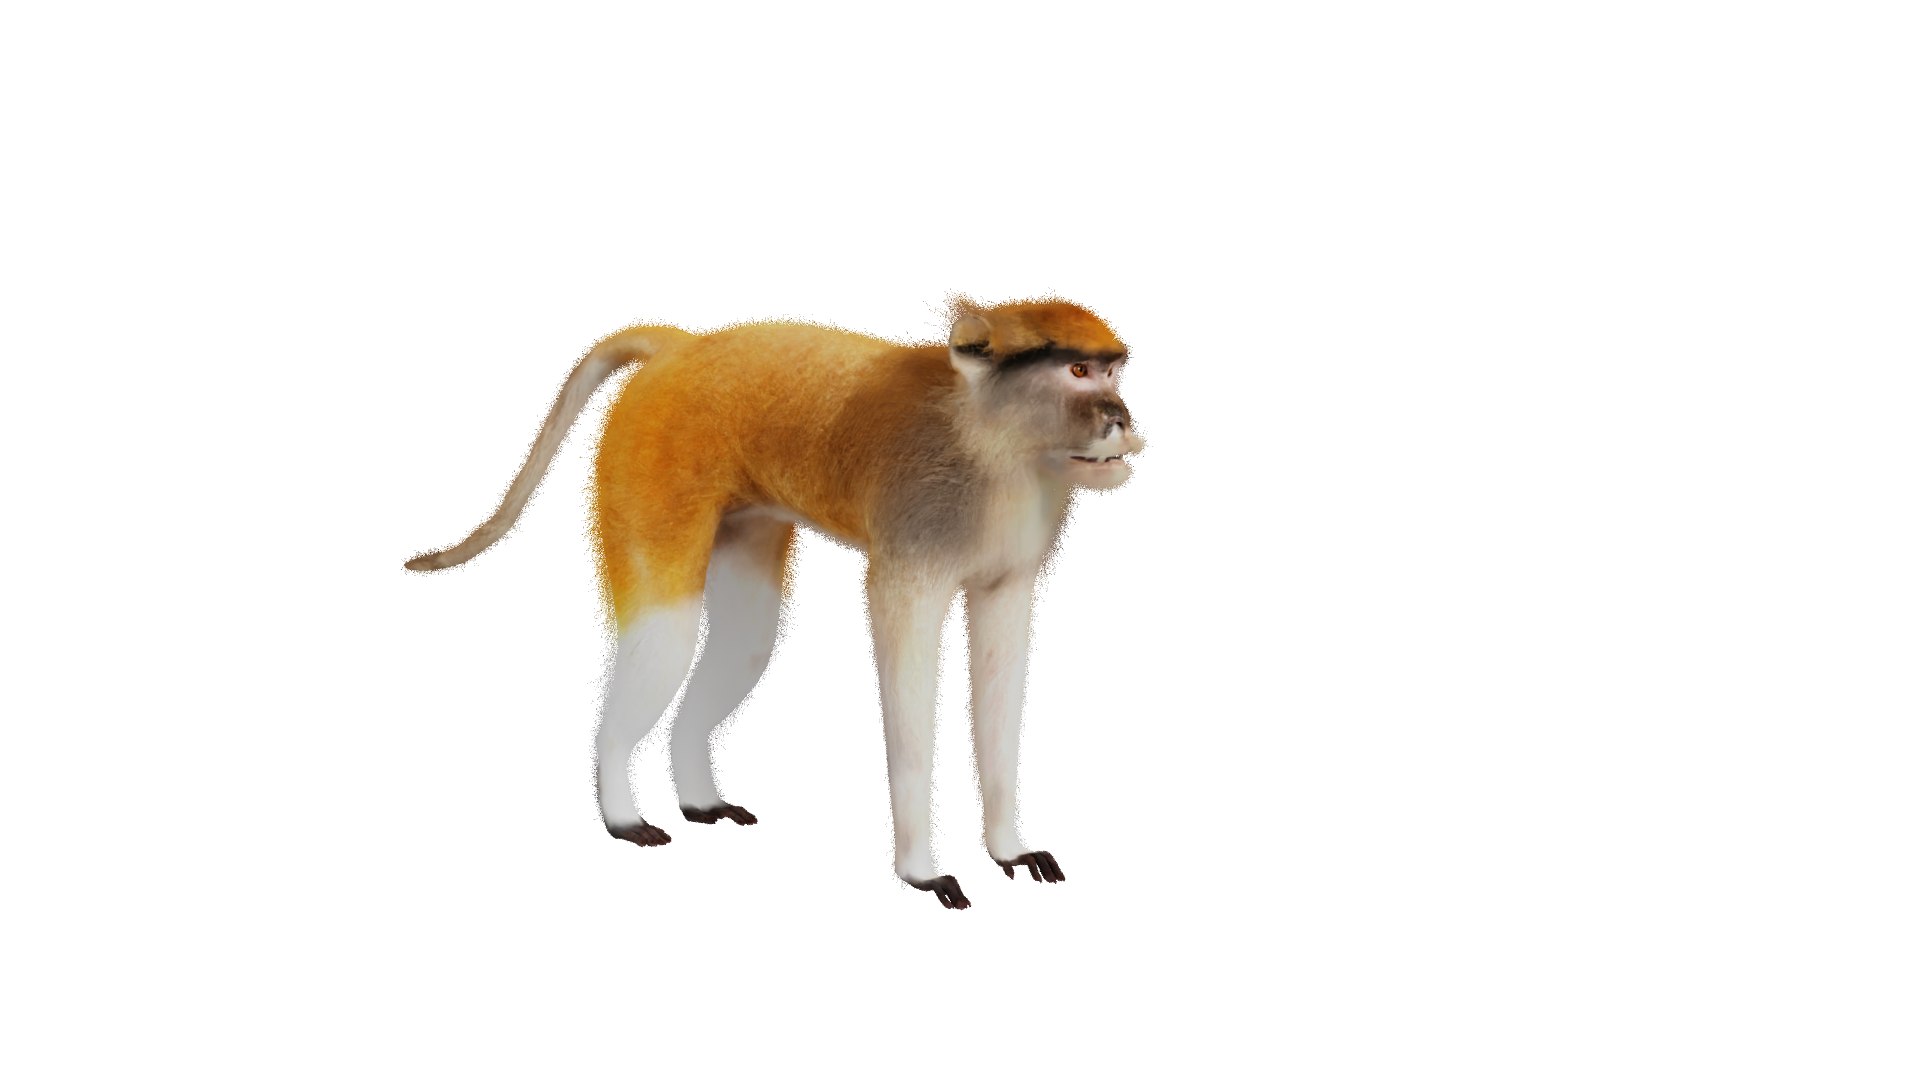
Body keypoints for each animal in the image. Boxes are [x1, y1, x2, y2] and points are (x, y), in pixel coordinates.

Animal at [406, 298, 1144, 909]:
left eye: (1111, 372)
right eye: (1078, 369)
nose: (1120, 419)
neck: (989, 439)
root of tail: (681, 348)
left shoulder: (1009, 553)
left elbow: (1000, 666)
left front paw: (1009, 849)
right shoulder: (920, 527)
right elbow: (902, 646)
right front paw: (923, 871)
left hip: (739, 514)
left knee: (746, 639)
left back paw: (698, 799)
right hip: (647, 464)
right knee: (668, 634)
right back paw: (621, 811)